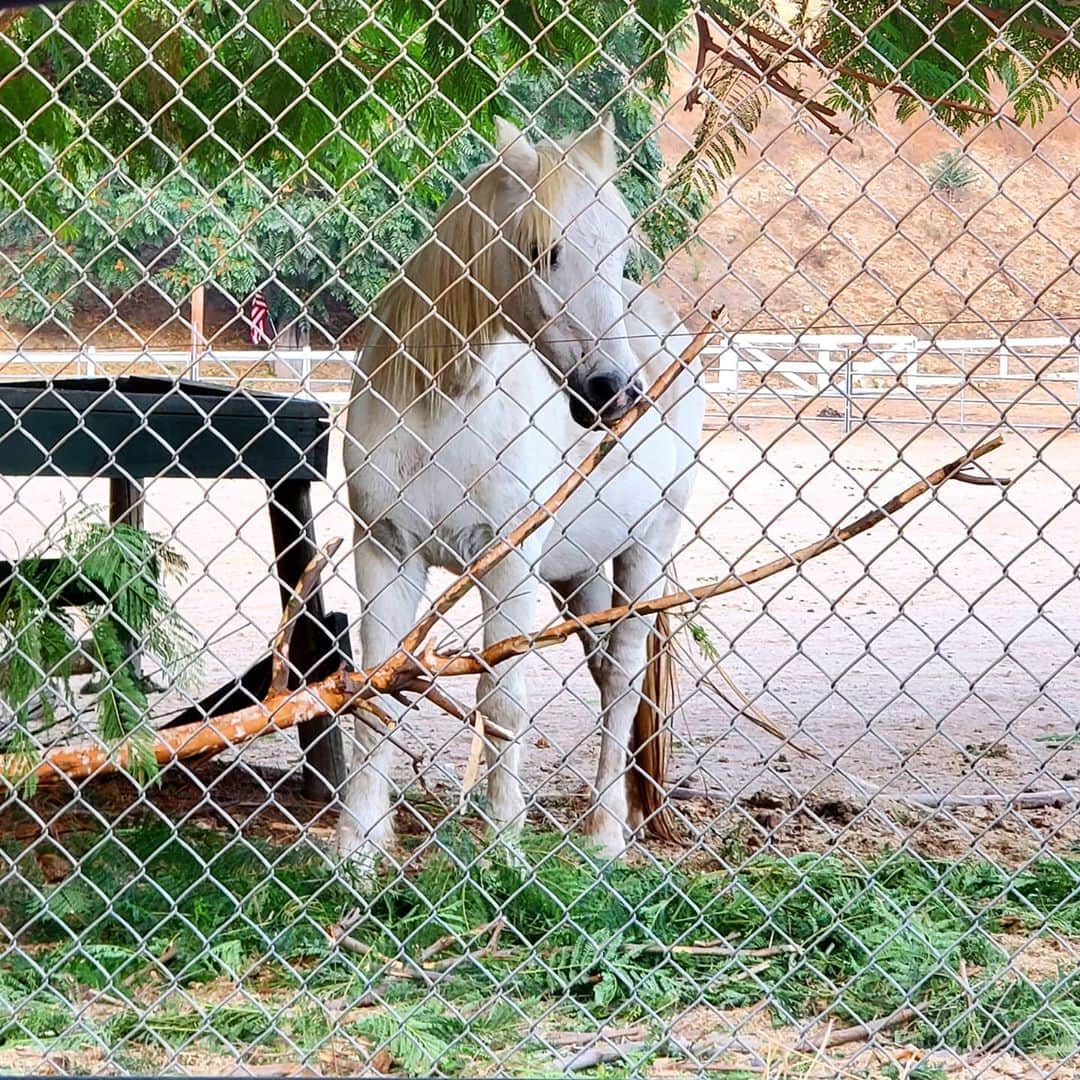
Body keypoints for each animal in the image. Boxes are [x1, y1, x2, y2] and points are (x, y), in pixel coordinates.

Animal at [338, 116, 705, 862]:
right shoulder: (385, 554)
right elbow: (373, 696)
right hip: (579, 575)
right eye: (541, 251)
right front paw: (357, 853)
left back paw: (604, 834)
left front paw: (502, 851)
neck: (443, 405)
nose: (615, 392)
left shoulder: (505, 567)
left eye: (619, 249)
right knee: (604, 673)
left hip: (646, 553)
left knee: (623, 680)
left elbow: (501, 702)